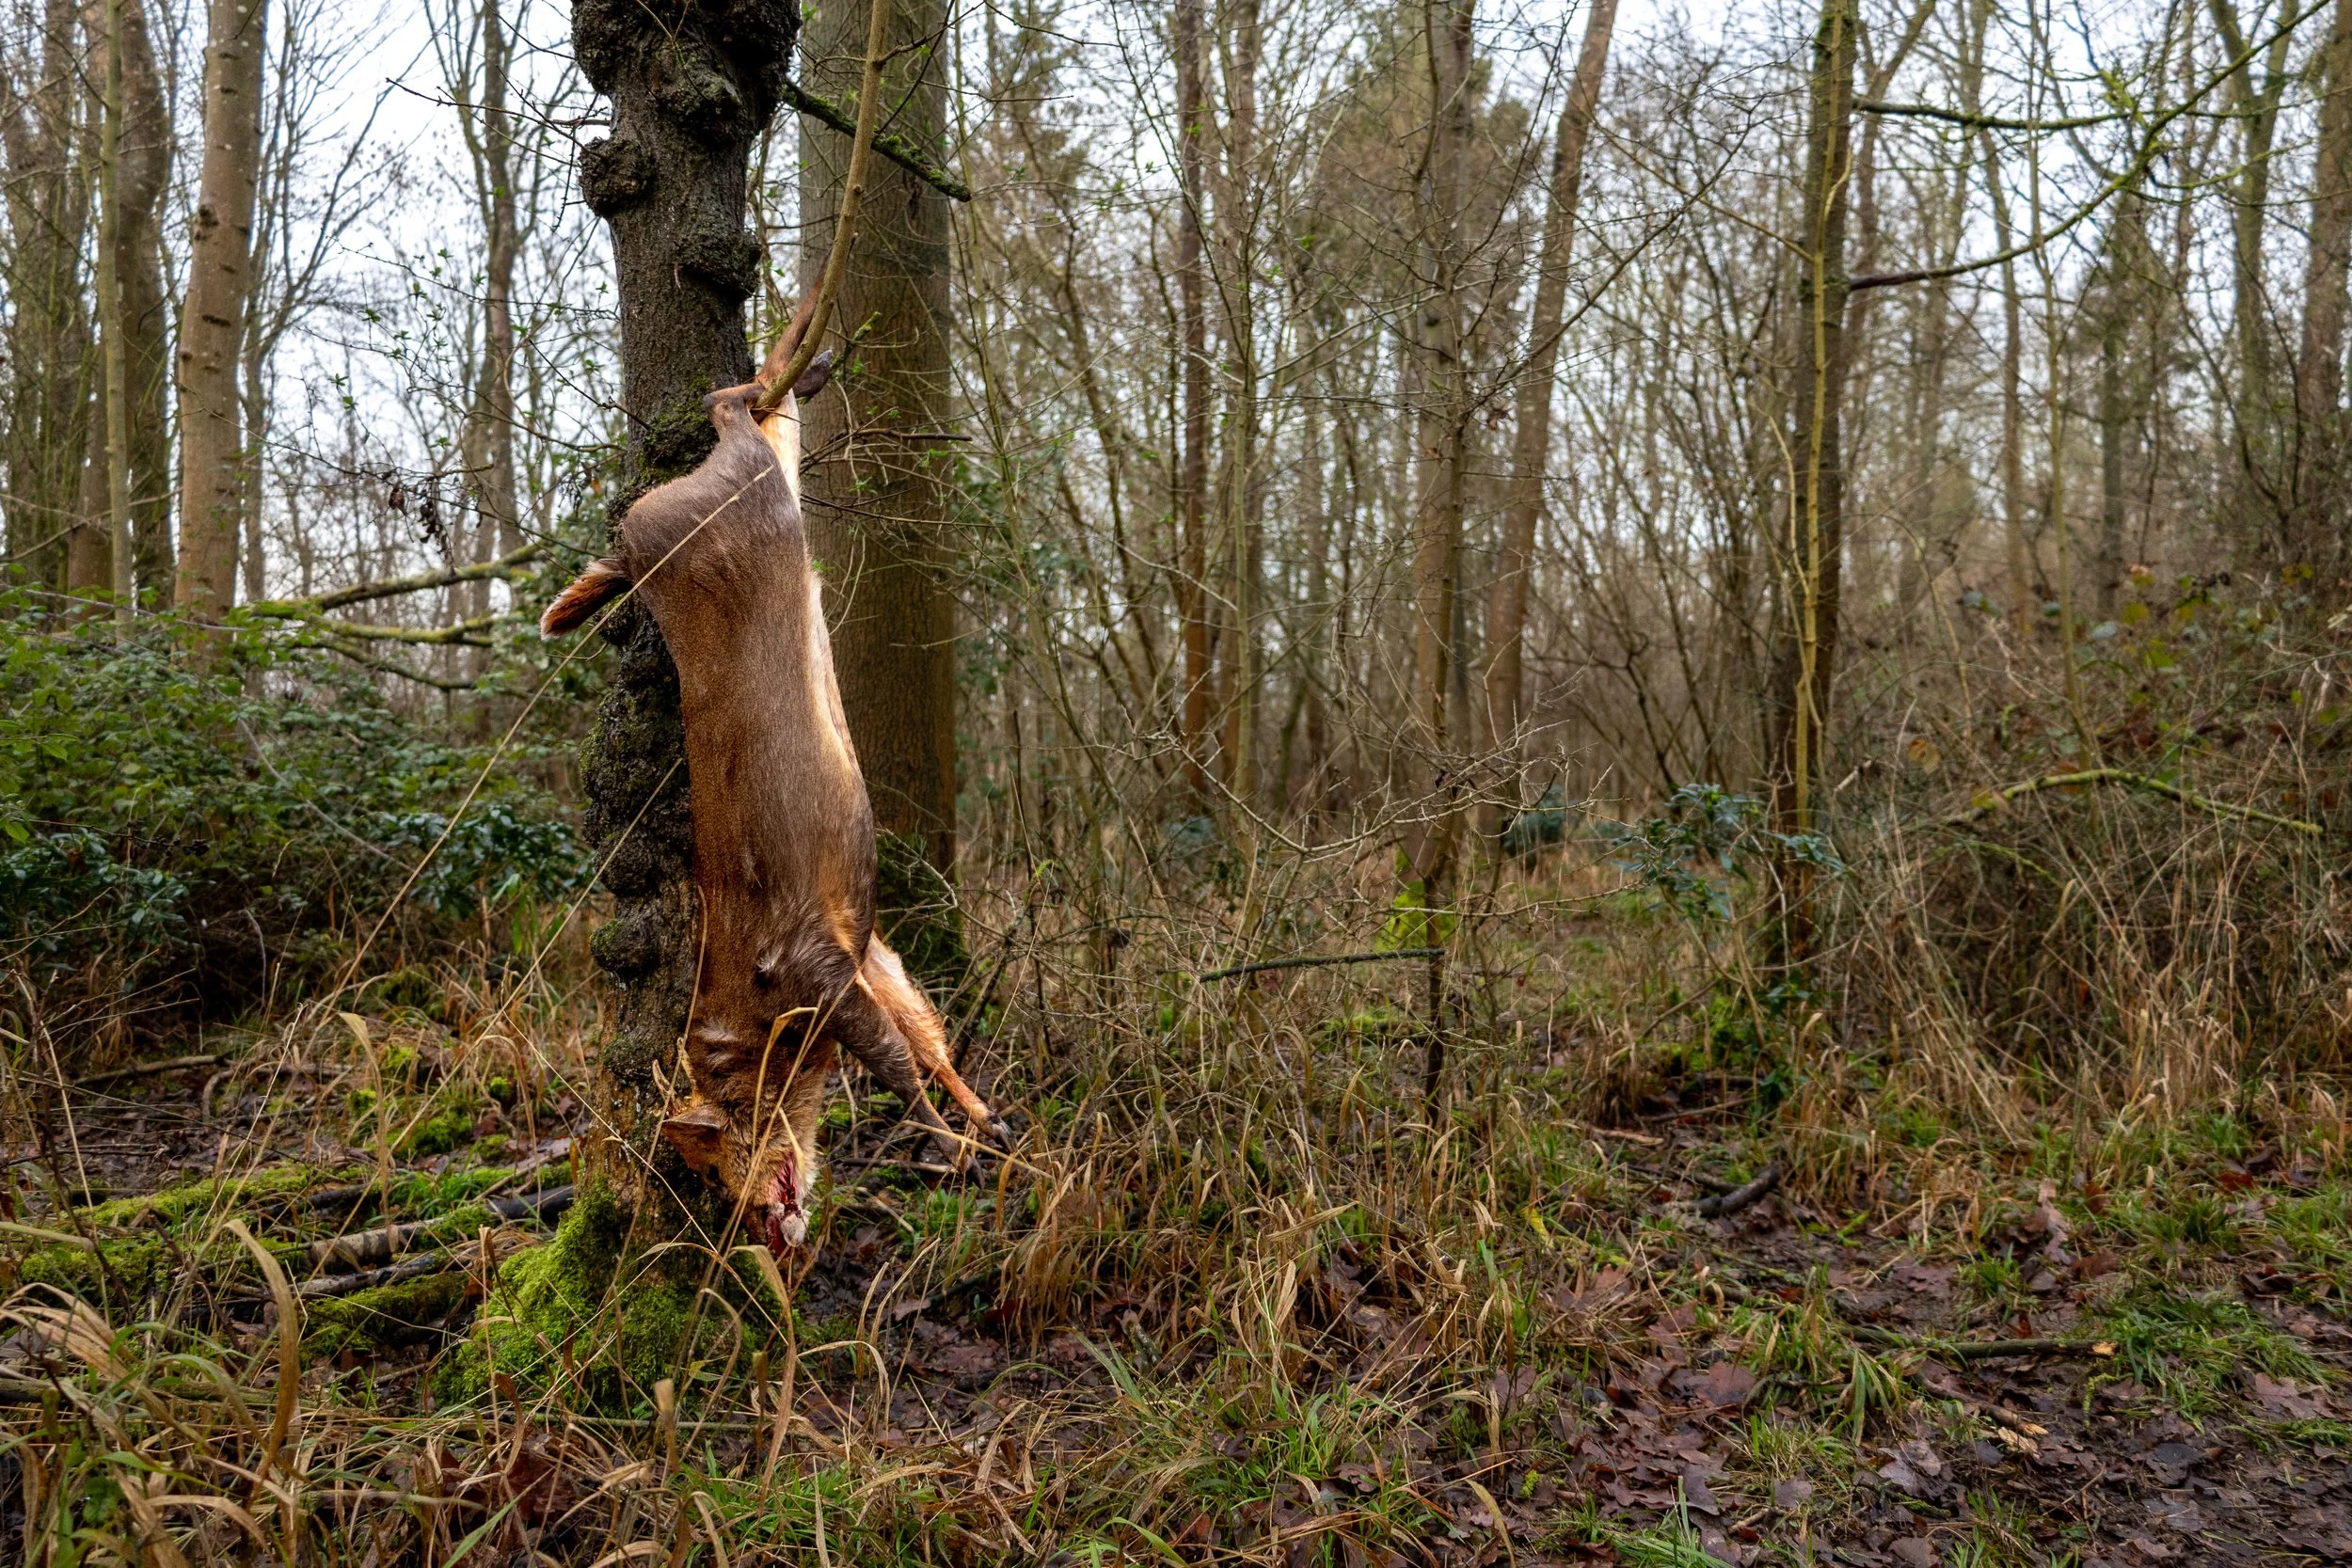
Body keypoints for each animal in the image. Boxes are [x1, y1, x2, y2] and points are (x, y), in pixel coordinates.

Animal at [540, 309, 1003, 1257]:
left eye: (717, 1142)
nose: (760, 1225)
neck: (757, 1024)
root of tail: (633, 534)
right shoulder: (866, 948)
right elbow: (926, 1029)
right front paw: (993, 1129)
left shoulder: (817, 966)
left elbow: (903, 1058)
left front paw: (959, 1149)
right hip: (762, 487)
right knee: (772, 413)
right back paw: (816, 362)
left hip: (737, 495)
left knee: (736, 410)